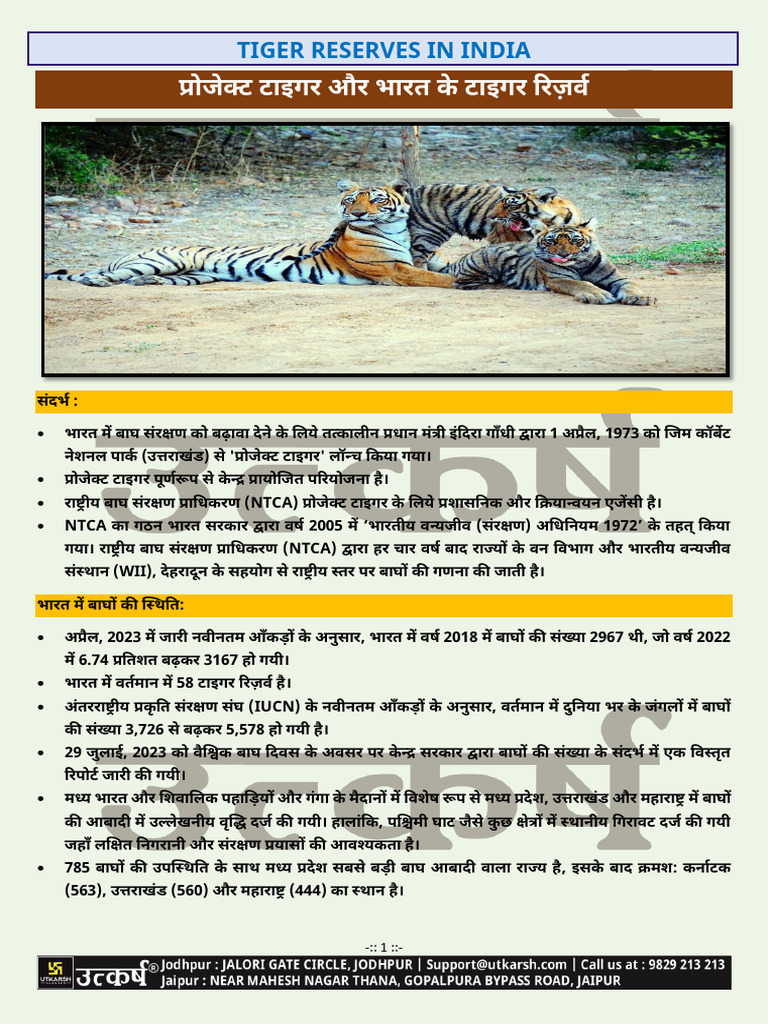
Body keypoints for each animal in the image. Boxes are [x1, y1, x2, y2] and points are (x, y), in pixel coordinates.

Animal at [44, 181, 456, 289]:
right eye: (351, 199)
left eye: (376, 200)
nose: (356, 214)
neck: (397, 230)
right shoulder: (393, 271)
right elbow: (433, 278)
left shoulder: (427, 260)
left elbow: (445, 269)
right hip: (160, 259)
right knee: (102, 275)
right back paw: (100, 280)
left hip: (193, 275)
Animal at [443, 220, 657, 305]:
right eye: (550, 241)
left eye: (575, 241)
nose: (563, 254)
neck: (578, 264)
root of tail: (460, 259)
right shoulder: (558, 279)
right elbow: (582, 283)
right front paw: (598, 295)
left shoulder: (616, 278)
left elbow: (631, 285)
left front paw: (642, 297)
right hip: (499, 255)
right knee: (463, 283)